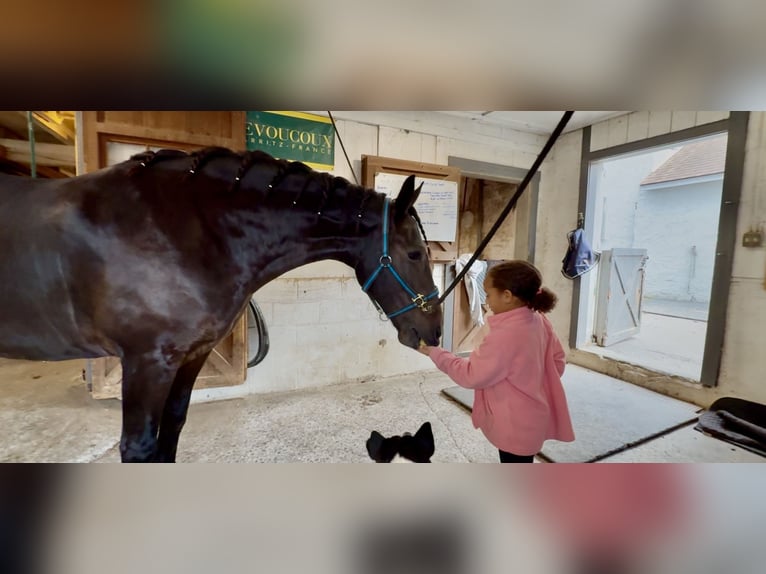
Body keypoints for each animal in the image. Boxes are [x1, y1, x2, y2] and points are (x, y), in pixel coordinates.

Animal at [0, 147, 443, 462]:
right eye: (415, 254)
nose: (434, 330)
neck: (184, 229)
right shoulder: (146, 361)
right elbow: (140, 447)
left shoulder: (192, 354)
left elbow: (172, 428)